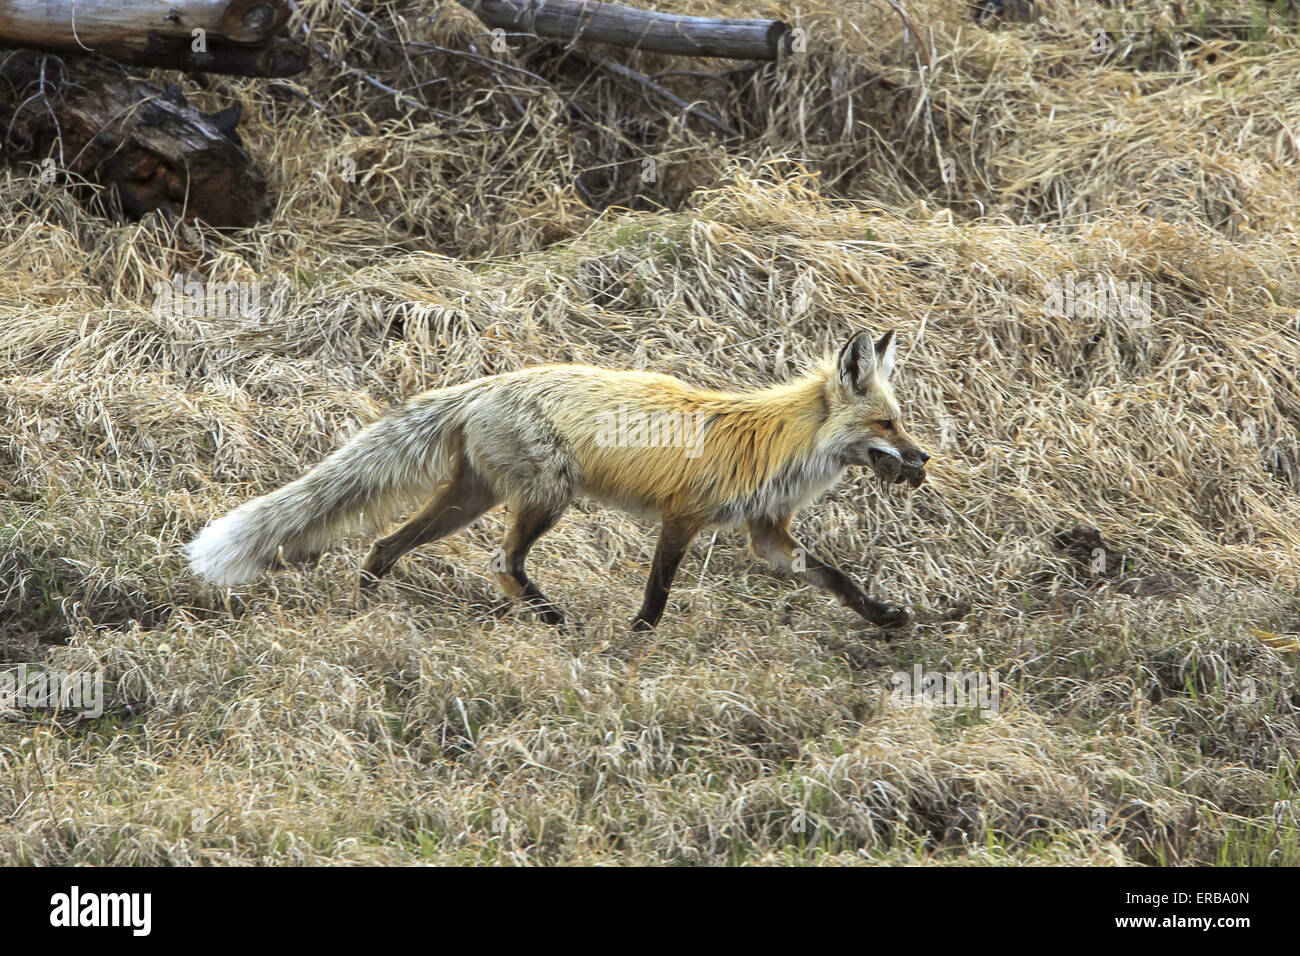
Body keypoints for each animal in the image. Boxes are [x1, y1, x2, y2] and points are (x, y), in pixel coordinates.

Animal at [186, 329, 931, 631]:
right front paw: (638, 638)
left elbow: (836, 579)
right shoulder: (683, 516)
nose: (923, 461)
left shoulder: (766, 534)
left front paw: (884, 617)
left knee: (384, 545)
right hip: (548, 499)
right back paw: (550, 618)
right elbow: (658, 591)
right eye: (887, 425)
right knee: (501, 561)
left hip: (471, 500)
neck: (777, 443)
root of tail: (485, 384)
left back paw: (367, 604)